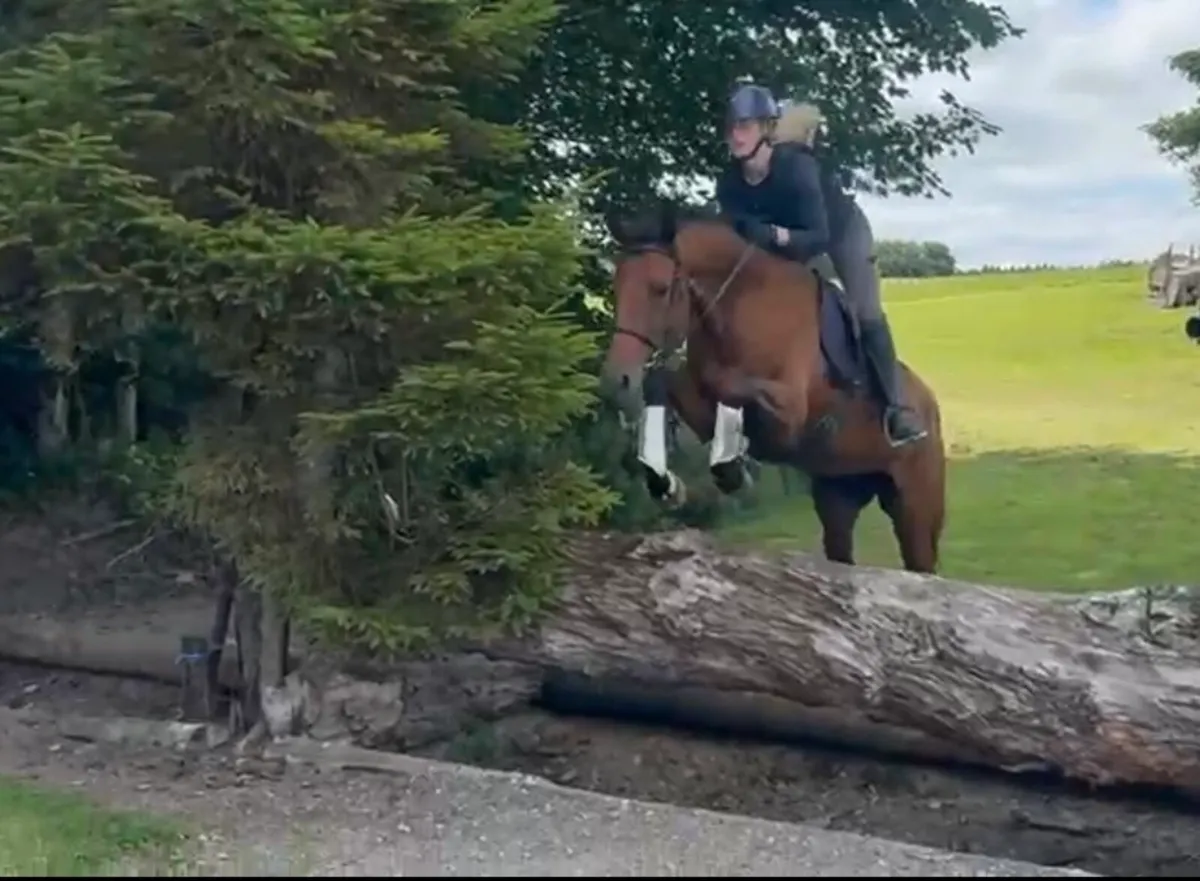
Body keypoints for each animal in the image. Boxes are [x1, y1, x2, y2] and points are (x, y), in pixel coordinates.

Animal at [600, 203, 946, 574]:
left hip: (915, 507)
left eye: (661, 289)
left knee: (921, 563)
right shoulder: (699, 400)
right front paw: (670, 484)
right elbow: (676, 388)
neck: (740, 305)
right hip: (839, 496)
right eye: (616, 287)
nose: (617, 381)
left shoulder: (790, 409)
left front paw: (733, 468)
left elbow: (730, 388)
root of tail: (930, 403)